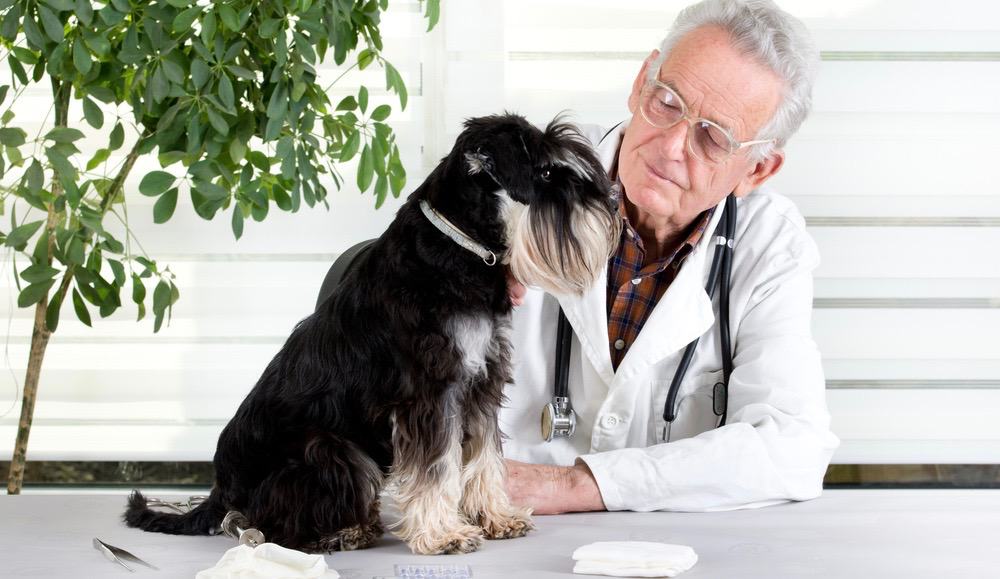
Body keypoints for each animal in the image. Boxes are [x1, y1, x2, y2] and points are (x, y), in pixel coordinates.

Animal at [124, 112, 620, 552]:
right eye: (547, 170)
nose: (614, 202)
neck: (457, 246)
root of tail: (222, 488)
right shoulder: (431, 393)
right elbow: (438, 467)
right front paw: (443, 535)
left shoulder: (481, 382)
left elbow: (483, 457)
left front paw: (495, 517)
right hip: (330, 451)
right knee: (272, 524)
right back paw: (342, 532)